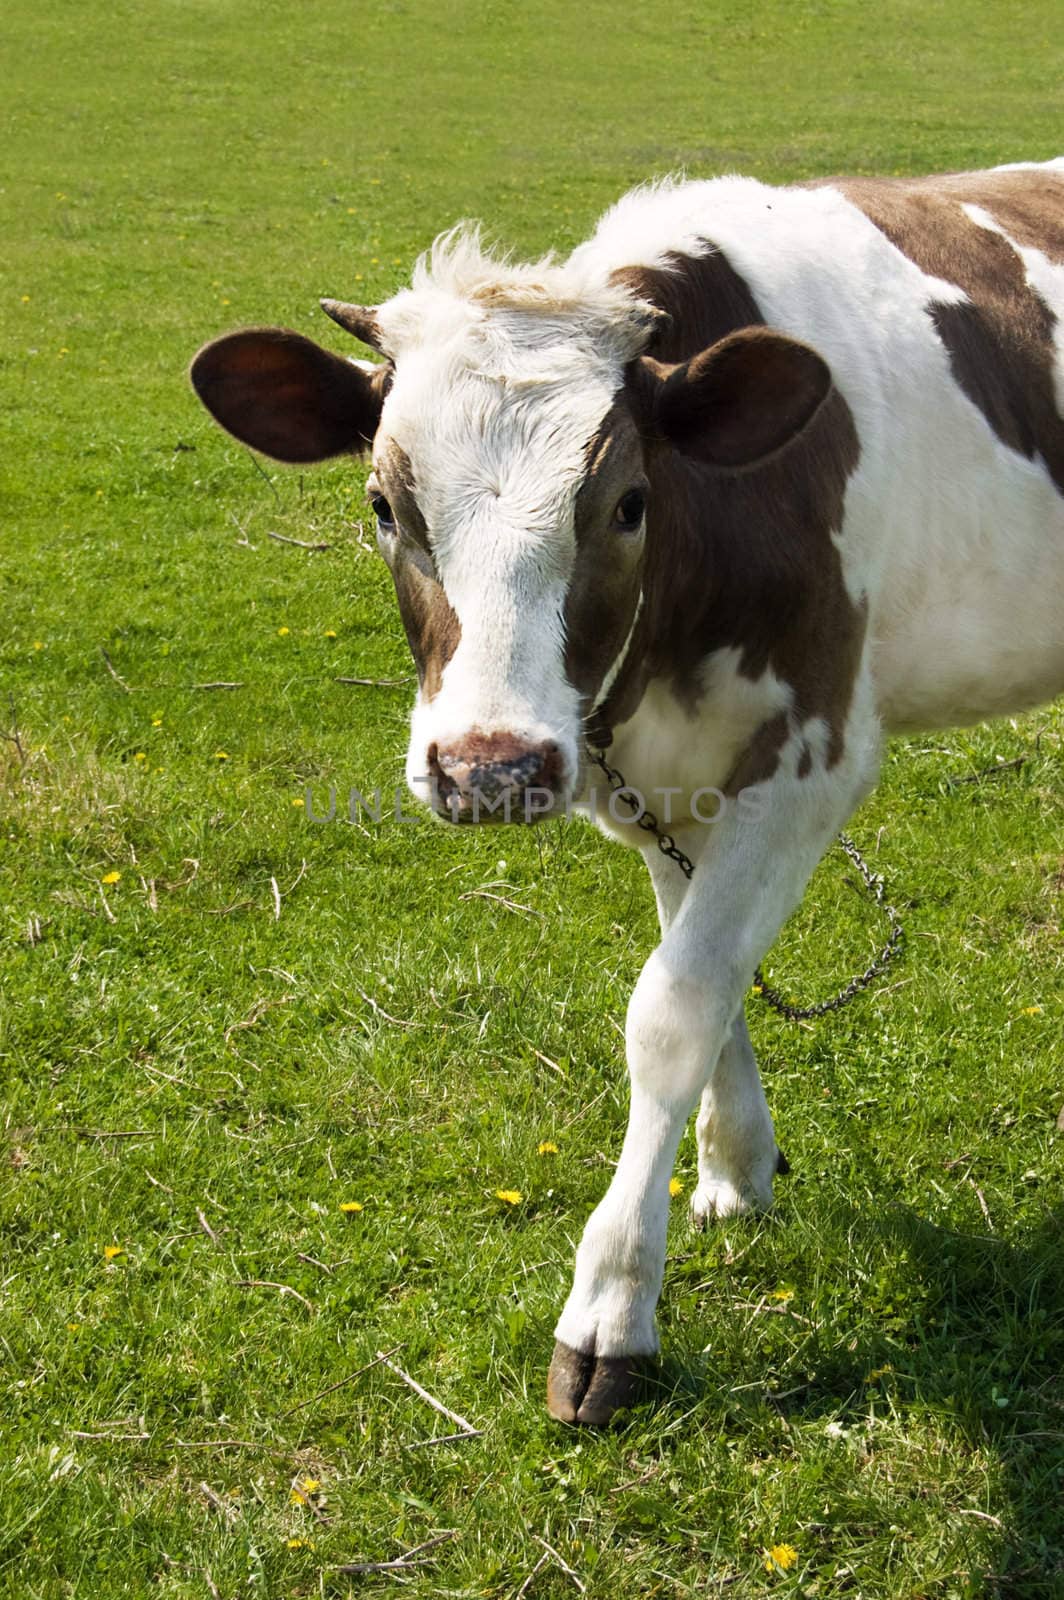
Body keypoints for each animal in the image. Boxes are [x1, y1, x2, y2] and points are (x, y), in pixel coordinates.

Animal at [191, 159, 1062, 1427]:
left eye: (626, 502)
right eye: (384, 506)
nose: (489, 766)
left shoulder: (811, 756)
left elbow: (670, 1008)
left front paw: (609, 1308)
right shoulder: (650, 776)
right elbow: (703, 964)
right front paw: (735, 1163)